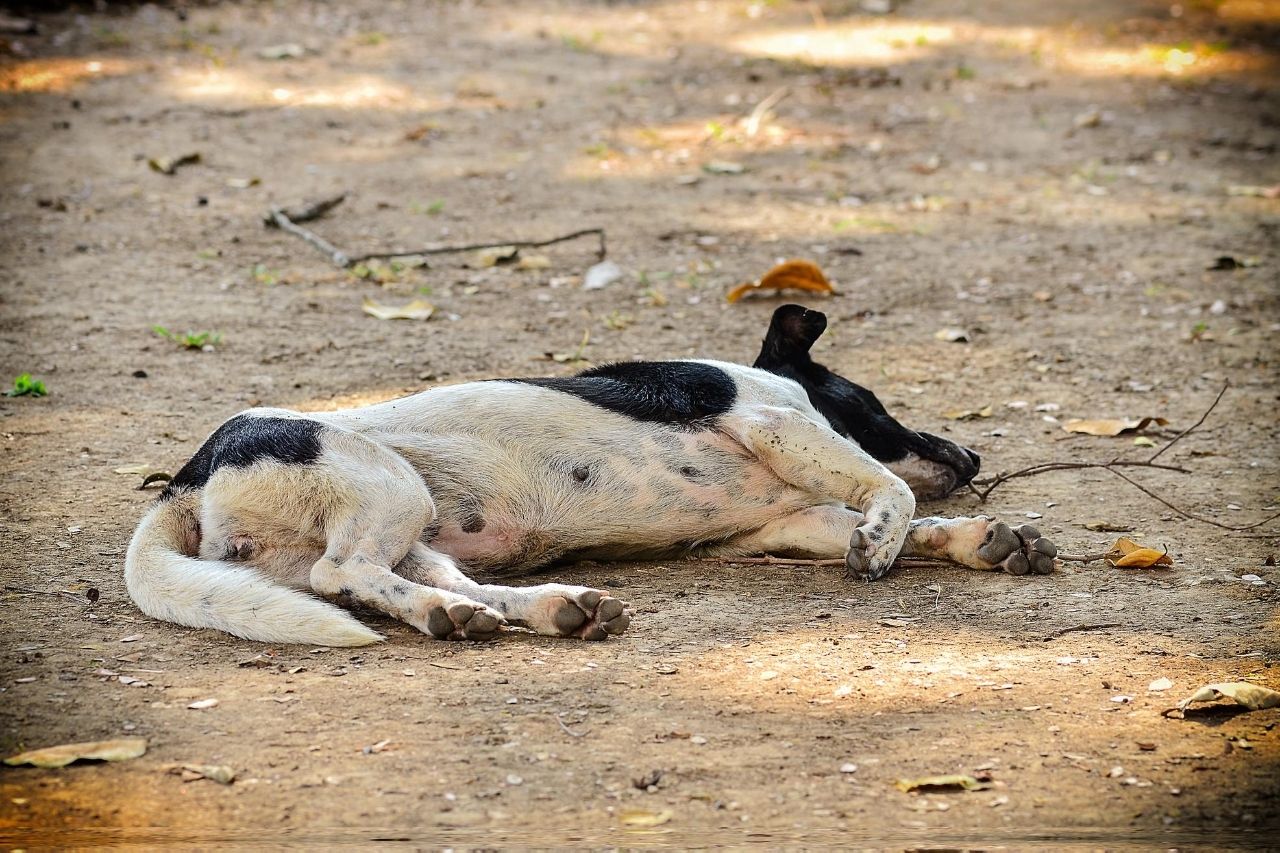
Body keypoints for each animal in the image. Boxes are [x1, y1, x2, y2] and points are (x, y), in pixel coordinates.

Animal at [124, 306, 1054, 645]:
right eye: (873, 401)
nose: (976, 458)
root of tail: (186, 477)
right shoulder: (775, 419)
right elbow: (891, 490)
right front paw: (888, 538)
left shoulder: (783, 523)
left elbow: (908, 519)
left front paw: (985, 538)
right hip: (389, 491)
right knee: (340, 574)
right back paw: (463, 615)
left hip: (414, 532)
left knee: (421, 585)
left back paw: (524, 610)